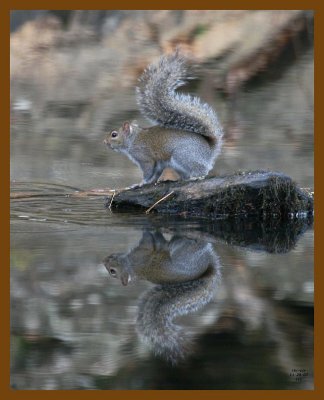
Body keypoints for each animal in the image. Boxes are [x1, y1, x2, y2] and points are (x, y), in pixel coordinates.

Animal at [104, 50, 223, 184]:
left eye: (114, 134)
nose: (105, 142)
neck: (133, 139)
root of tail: (209, 151)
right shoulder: (158, 163)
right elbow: (156, 173)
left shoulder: (145, 158)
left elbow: (148, 172)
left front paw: (140, 183)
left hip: (183, 156)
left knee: (202, 169)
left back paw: (197, 176)